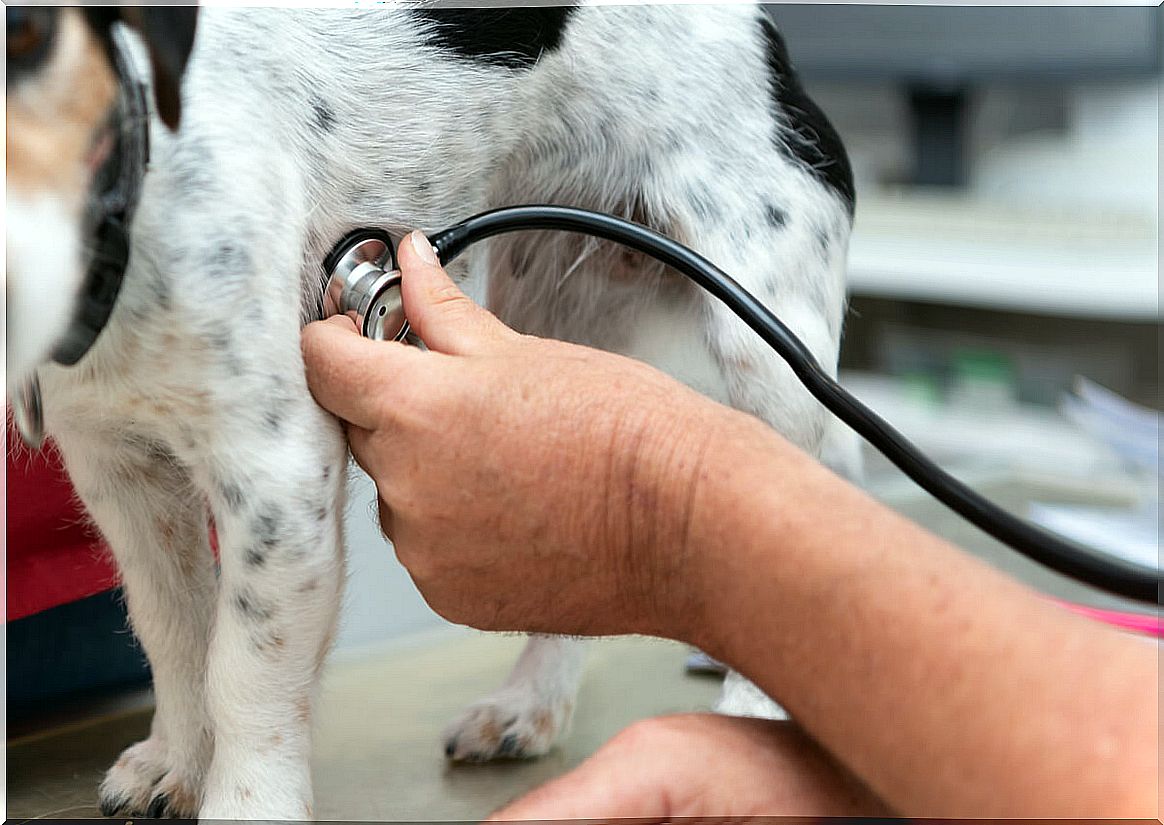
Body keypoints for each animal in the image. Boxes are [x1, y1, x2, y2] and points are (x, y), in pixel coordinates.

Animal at [4, 4, 861, 819]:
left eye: (34, 38)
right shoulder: (121, 473)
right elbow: (176, 631)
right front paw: (180, 760)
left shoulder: (279, 471)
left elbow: (247, 665)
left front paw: (250, 803)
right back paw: (529, 703)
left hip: (765, 334)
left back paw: (751, 716)